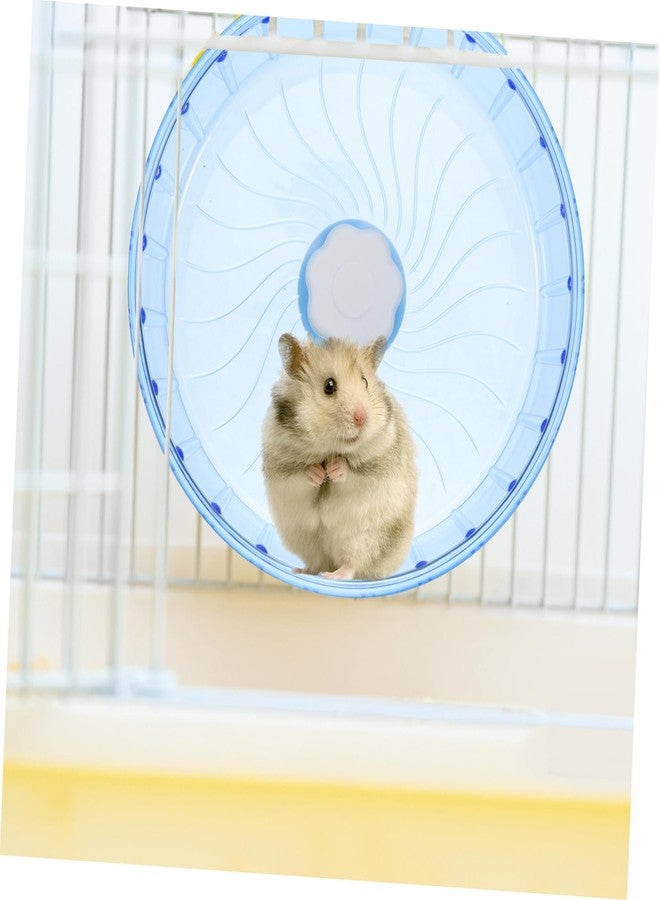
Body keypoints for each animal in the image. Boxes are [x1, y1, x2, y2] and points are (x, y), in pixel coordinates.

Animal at [262, 333, 418, 581]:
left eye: (365, 381)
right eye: (329, 386)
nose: (362, 418)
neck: (329, 449)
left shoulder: (379, 462)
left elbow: (353, 472)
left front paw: (335, 470)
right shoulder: (280, 463)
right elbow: (300, 473)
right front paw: (318, 473)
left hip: (364, 538)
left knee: (352, 564)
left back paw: (333, 576)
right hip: (304, 540)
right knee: (316, 562)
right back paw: (303, 570)